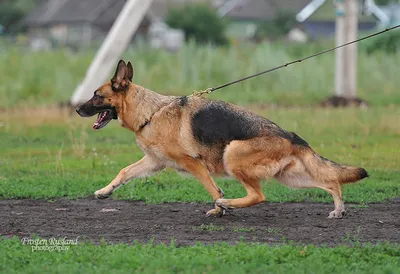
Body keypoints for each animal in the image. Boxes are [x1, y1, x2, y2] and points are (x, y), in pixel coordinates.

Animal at [76, 60, 368, 218]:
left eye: (96, 95)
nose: (77, 109)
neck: (151, 112)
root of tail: (290, 135)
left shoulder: (194, 164)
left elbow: (212, 189)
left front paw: (218, 209)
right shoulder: (153, 162)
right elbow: (124, 172)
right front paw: (104, 191)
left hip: (233, 155)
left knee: (258, 195)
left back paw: (227, 203)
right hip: (290, 177)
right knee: (331, 182)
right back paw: (339, 210)